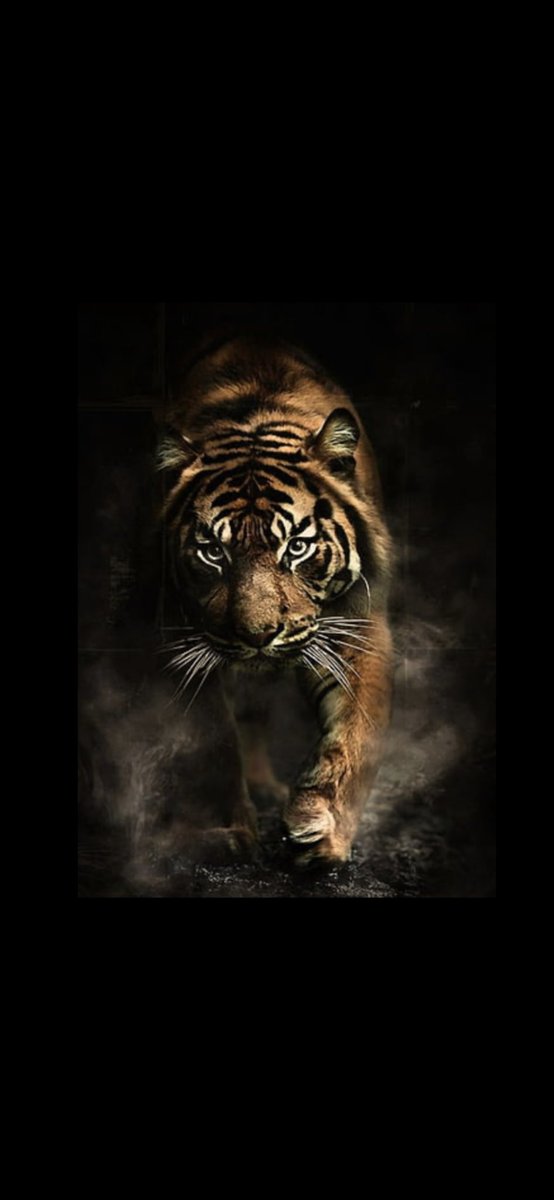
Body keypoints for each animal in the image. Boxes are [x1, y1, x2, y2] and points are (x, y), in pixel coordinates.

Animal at [157, 332, 394, 868]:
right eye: (212, 551)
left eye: (297, 547)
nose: (258, 634)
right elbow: (215, 739)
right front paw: (228, 832)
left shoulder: (358, 625)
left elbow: (356, 733)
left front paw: (322, 830)